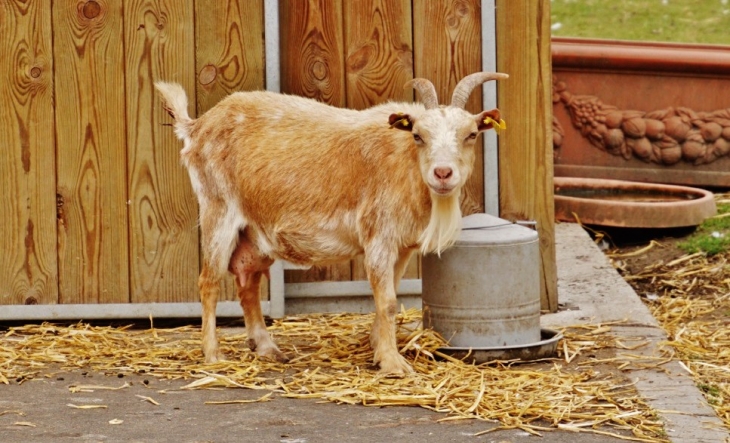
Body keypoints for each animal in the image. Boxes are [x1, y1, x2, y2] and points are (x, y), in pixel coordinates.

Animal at [154, 73, 506, 374]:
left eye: (471, 135)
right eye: (418, 136)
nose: (443, 173)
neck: (404, 161)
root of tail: (197, 126)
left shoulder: (402, 246)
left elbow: (389, 296)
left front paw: (378, 350)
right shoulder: (378, 236)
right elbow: (388, 302)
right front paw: (394, 363)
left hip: (254, 230)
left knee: (248, 283)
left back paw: (267, 347)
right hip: (218, 209)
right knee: (209, 281)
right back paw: (213, 353)